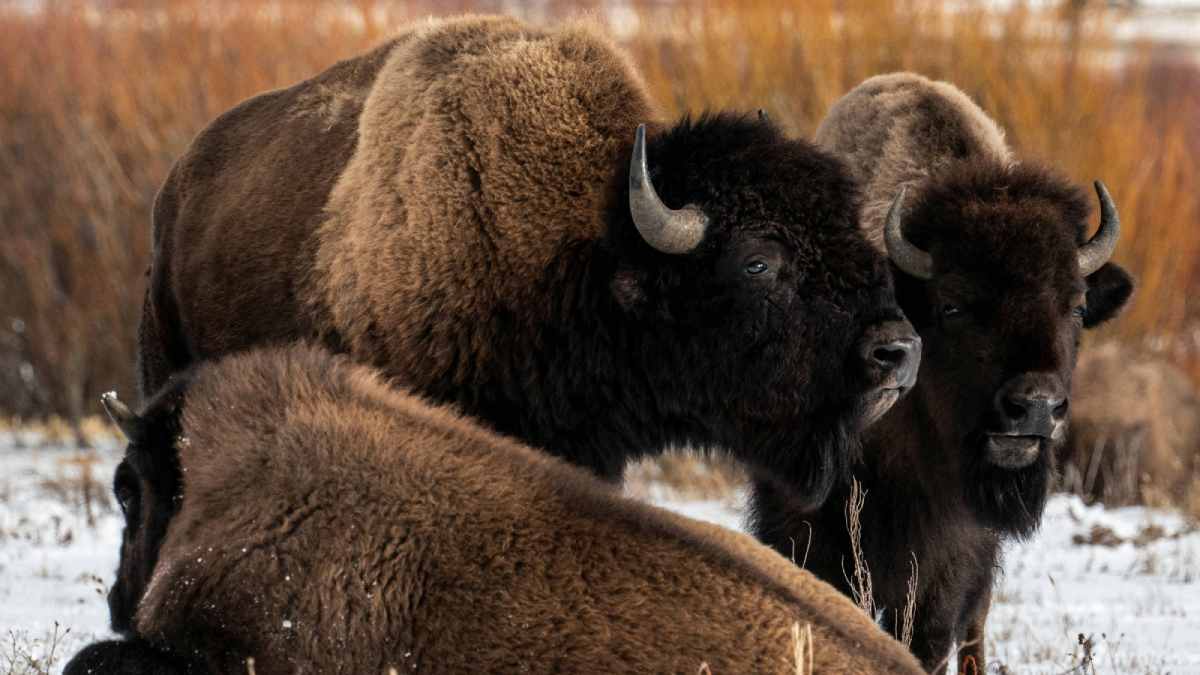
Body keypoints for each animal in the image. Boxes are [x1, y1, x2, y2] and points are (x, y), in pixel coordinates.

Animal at [750, 72, 1133, 673]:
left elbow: (930, 632)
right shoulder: (808, 524)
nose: (1035, 407)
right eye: (952, 305)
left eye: (1075, 306)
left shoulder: (953, 557)